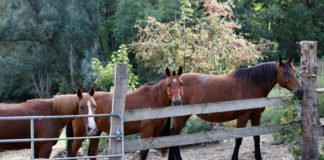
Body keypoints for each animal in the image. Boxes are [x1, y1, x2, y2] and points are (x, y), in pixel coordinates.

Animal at [170, 57, 304, 160]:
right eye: (284, 73)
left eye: (294, 71)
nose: (300, 91)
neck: (252, 84)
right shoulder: (242, 117)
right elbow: (238, 139)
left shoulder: (256, 116)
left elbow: (256, 137)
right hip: (180, 117)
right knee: (174, 136)